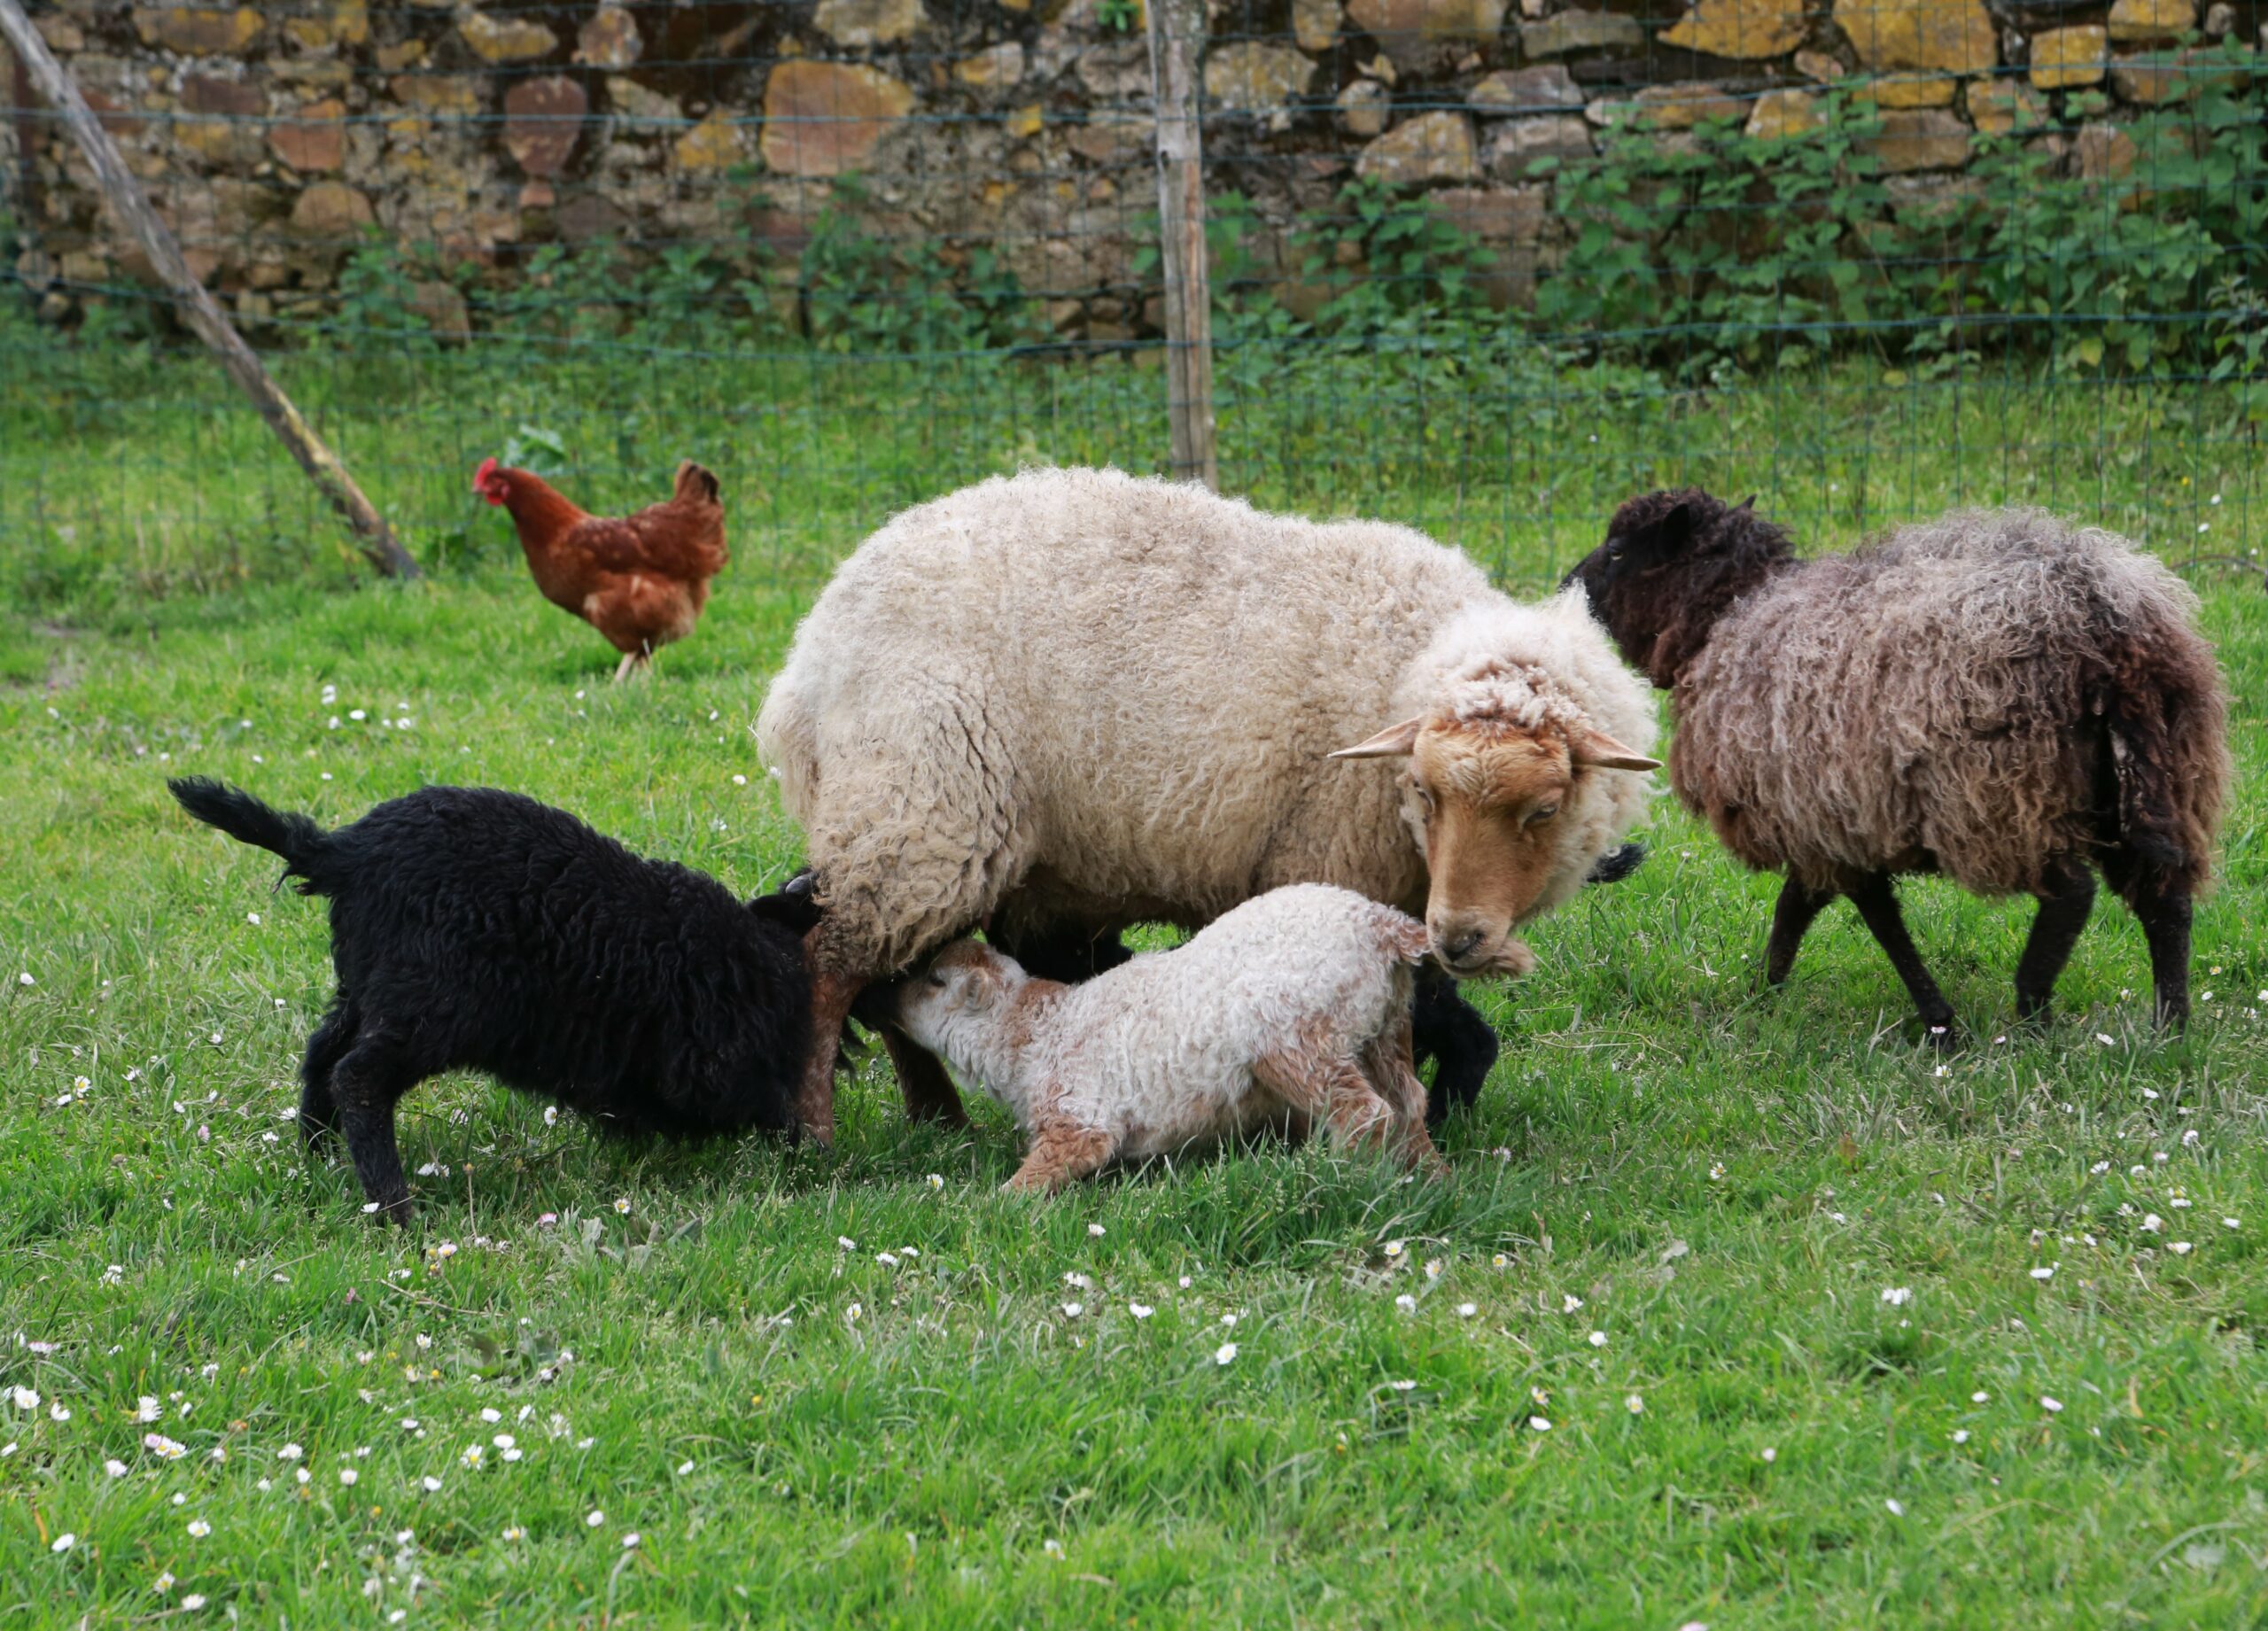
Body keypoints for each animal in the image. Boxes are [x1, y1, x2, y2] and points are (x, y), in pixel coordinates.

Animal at [168, 778, 816, 1222]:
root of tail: (344, 854)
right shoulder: (725, 1060)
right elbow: (772, 1107)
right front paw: (806, 1165)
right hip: (437, 1004)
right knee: (358, 1077)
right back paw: (395, 1210)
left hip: (370, 986)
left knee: (321, 1054)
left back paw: (317, 1153)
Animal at [755, 466, 1660, 1144]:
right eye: (1424, 792)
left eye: (1544, 809)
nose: (1463, 937)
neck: (1405, 661)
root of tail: (811, 652)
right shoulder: (1330, 868)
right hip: (922, 808)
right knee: (833, 964)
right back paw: (819, 1133)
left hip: (929, 829)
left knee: (894, 974)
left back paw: (936, 1117)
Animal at [869, 885, 1492, 1191]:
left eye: (934, 981)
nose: (882, 997)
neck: (1034, 1031)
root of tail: (1379, 924)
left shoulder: (1079, 1117)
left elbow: (1041, 1174)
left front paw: (990, 1206)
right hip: (1385, 1023)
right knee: (1407, 1101)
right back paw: (1436, 1180)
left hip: (1293, 1033)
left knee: (1366, 1113)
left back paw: (1331, 1174)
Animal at [1565, 491, 2231, 1040]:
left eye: (1619, 551)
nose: (1566, 582)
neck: (1726, 615)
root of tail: (2105, 620)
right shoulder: (1822, 818)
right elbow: (1798, 907)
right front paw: (1764, 992)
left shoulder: (1830, 816)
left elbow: (1874, 918)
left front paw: (1938, 1021)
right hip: (2156, 778)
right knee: (2165, 898)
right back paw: (2170, 1026)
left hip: (2003, 794)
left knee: (2072, 895)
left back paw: (2033, 1010)